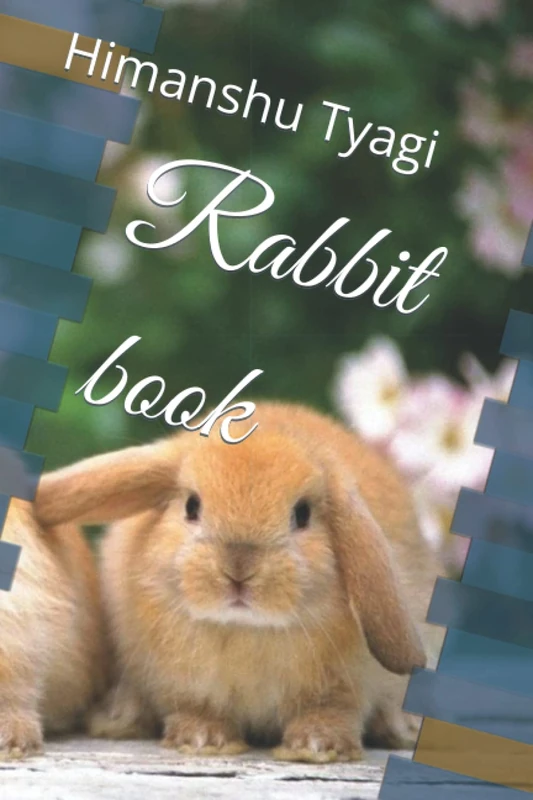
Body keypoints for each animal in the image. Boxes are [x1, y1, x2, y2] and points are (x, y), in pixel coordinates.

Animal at [34, 401, 445, 763]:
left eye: (302, 514)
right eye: (192, 506)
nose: (238, 569)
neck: (244, 629)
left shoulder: (345, 688)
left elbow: (332, 713)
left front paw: (316, 747)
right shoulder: (182, 684)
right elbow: (196, 709)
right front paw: (202, 740)